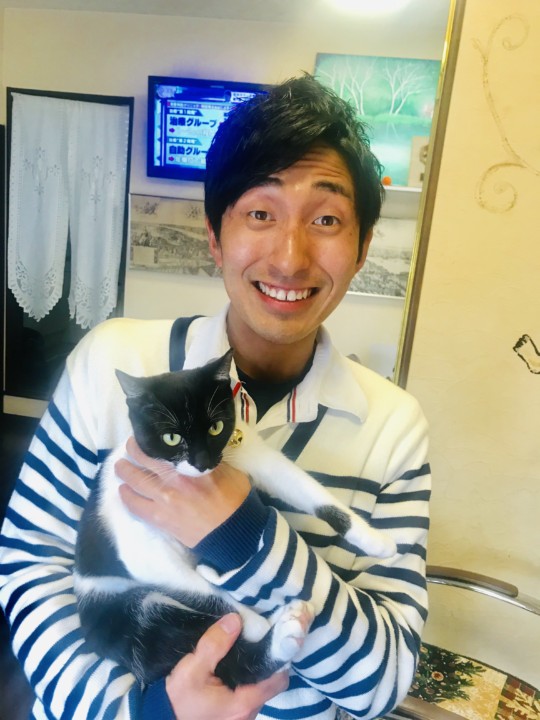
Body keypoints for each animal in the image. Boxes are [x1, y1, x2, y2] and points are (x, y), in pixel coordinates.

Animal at [74, 349, 396, 688]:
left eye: (216, 428)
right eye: (171, 437)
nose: (202, 462)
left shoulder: (248, 452)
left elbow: (308, 490)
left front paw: (374, 540)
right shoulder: (139, 542)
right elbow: (204, 593)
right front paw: (253, 622)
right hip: (126, 616)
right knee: (208, 651)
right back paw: (278, 635)